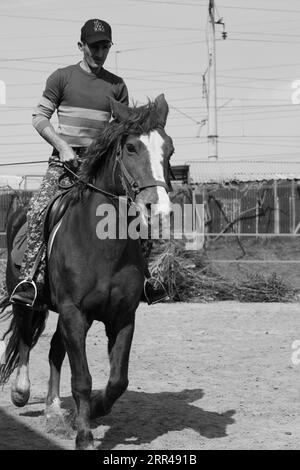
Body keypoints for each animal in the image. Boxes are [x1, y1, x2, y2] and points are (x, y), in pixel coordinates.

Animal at [0, 93, 173, 450]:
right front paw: (84, 436)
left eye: (170, 150)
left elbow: (118, 380)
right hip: (24, 298)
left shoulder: (121, 316)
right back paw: (21, 392)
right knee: (24, 338)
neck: (102, 246)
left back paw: (54, 412)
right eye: (131, 147)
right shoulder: (74, 313)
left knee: (54, 350)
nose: (159, 209)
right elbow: (81, 378)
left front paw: (94, 409)